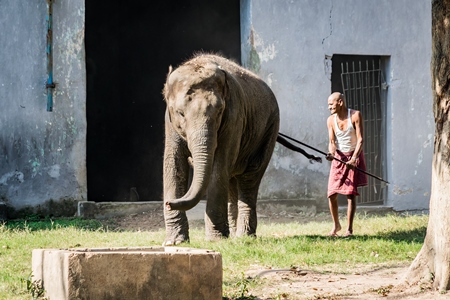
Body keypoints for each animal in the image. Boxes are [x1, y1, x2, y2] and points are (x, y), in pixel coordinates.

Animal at [162, 54, 320, 246]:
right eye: (180, 113)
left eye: (219, 112)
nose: (169, 203)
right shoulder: (170, 123)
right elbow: (174, 164)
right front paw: (174, 242)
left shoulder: (234, 118)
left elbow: (220, 165)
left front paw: (215, 240)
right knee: (231, 179)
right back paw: (233, 235)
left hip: (269, 129)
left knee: (249, 178)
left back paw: (244, 236)